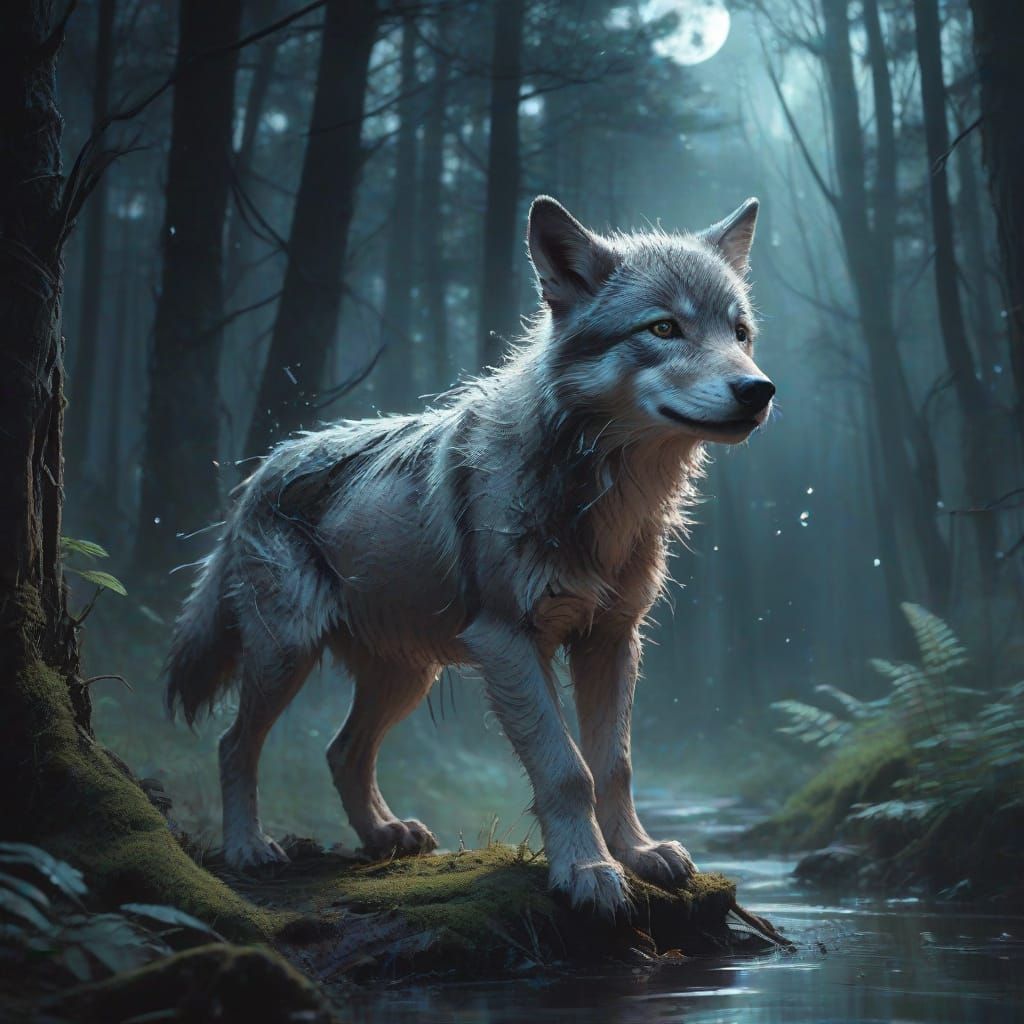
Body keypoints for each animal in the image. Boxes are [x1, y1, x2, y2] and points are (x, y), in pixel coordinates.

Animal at [166, 195, 774, 917]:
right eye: (663, 328)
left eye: (739, 332)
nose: (759, 390)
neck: (601, 497)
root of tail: (259, 473)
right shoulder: (509, 640)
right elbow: (567, 770)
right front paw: (588, 870)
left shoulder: (611, 640)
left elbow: (615, 765)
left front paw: (638, 853)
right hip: (288, 653)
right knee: (235, 743)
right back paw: (247, 848)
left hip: (407, 675)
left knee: (342, 751)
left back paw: (385, 835)